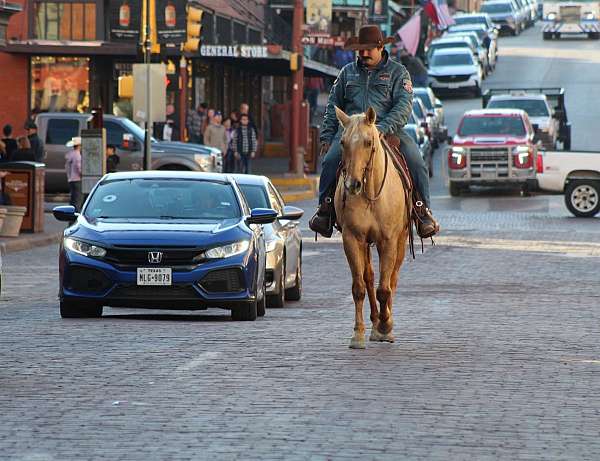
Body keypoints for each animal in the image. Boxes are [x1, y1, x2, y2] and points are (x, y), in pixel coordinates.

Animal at [336, 106, 410, 346]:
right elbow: (359, 287)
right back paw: (375, 321)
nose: (352, 184)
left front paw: (386, 326)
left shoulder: (388, 240)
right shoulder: (352, 239)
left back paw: (385, 322)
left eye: (369, 142)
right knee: (368, 277)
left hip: (401, 240)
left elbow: (384, 289)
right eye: (342, 142)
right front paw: (358, 333)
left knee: (392, 279)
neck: (370, 194)